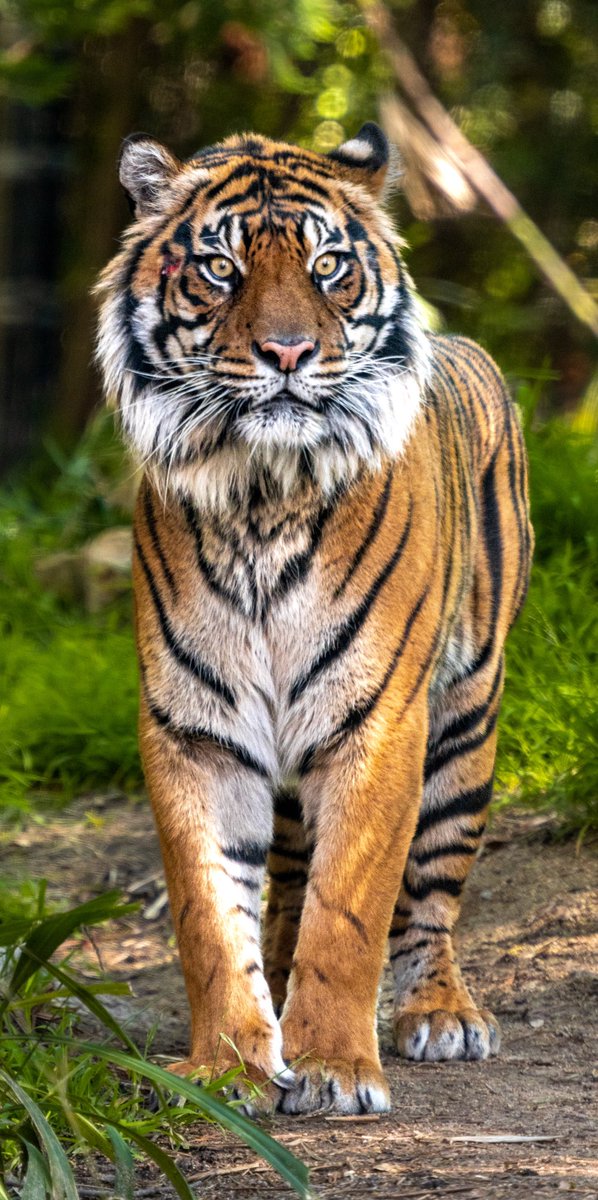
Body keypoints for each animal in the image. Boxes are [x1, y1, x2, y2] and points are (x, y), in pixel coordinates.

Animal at [96, 121, 533, 1113]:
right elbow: (211, 915)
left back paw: (440, 1013)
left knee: (431, 897)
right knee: (289, 880)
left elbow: (352, 909)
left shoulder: (379, 725)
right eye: (219, 270)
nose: (287, 354)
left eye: (328, 264)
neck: (264, 491)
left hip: (467, 723)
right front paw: (229, 1064)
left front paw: (333, 1068)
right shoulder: (197, 731)